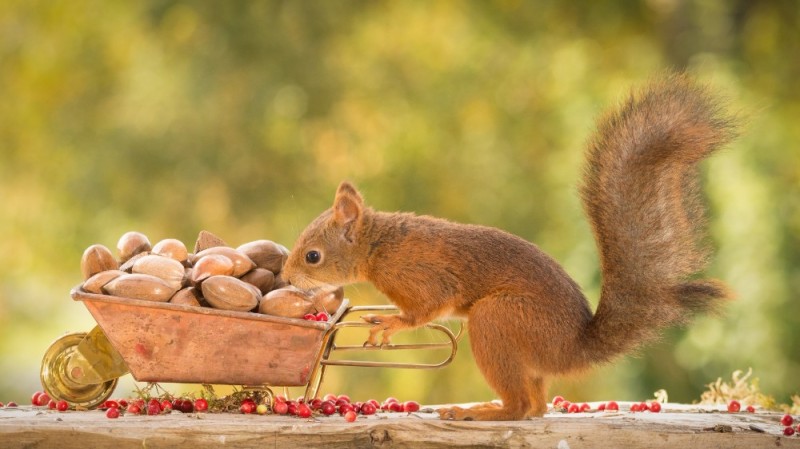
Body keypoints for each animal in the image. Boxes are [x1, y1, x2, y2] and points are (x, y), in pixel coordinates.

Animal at [282, 73, 736, 420]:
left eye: (313, 256)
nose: (286, 276)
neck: (379, 246)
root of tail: (570, 349)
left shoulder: (420, 276)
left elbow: (425, 309)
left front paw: (390, 323)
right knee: (535, 407)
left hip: (498, 321)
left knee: (521, 407)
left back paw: (480, 412)